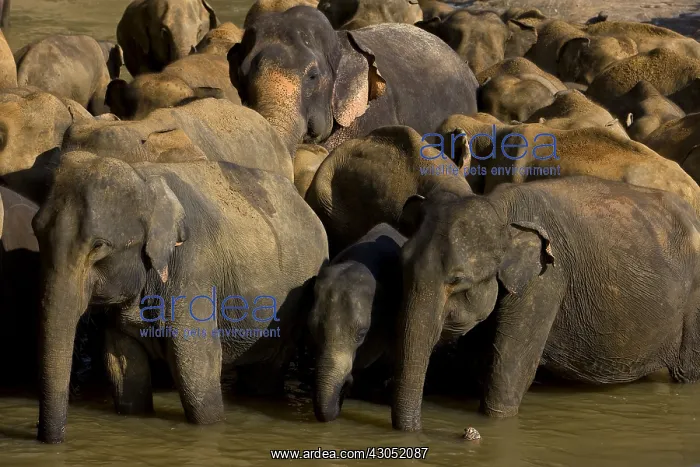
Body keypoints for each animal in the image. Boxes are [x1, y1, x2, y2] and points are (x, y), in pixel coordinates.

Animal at [34, 152, 328, 443]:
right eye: (36, 231)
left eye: (99, 246)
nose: (55, 440)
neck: (143, 178)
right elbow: (124, 371)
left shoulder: (193, 268)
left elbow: (197, 370)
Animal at [391, 175, 700, 431]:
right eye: (401, 265)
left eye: (456, 280)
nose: (418, 430)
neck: (500, 209)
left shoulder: (546, 281)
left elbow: (509, 371)